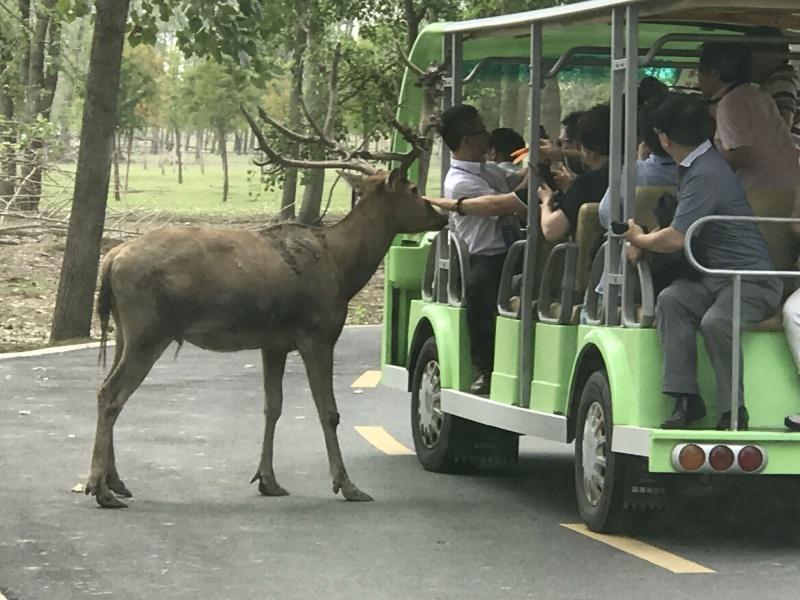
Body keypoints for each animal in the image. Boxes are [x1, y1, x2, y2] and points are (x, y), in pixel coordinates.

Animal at [89, 85, 450, 506]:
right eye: (414, 189)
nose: (442, 215)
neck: (342, 267)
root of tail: (111, 259)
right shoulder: (318, 333)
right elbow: (328, 411)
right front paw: (347, 484)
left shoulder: (273, 342)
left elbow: (272, 407)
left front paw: (268, 479)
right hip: (150, 328)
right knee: (110, 393)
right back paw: (100, 488)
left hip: (123, 329)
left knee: (107, 387)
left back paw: (116, 481)